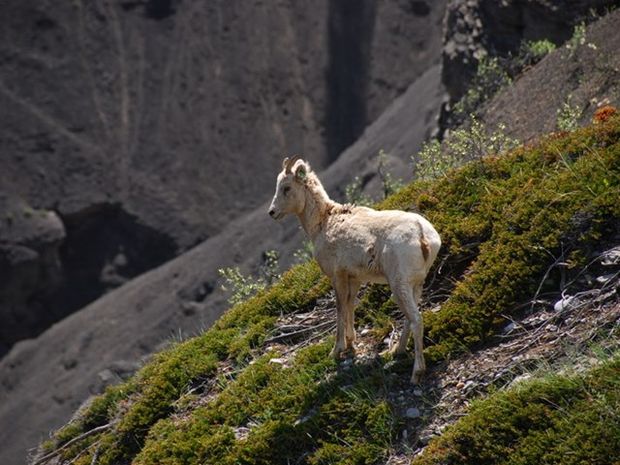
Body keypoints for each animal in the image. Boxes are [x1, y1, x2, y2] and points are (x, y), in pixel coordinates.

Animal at [268, 157, 440, 384]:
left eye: (286, 188)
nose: (272, 212)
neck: (323, 222)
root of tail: (423, 237)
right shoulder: (354, 278)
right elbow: (350, 305)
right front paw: (351, 345)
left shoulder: (337, 276)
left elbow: (340, 308)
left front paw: (337, 350)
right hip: (415, 284)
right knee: (410, 318)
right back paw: (396, 351)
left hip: (399, 284)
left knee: (417, 319)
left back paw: (416, 373)